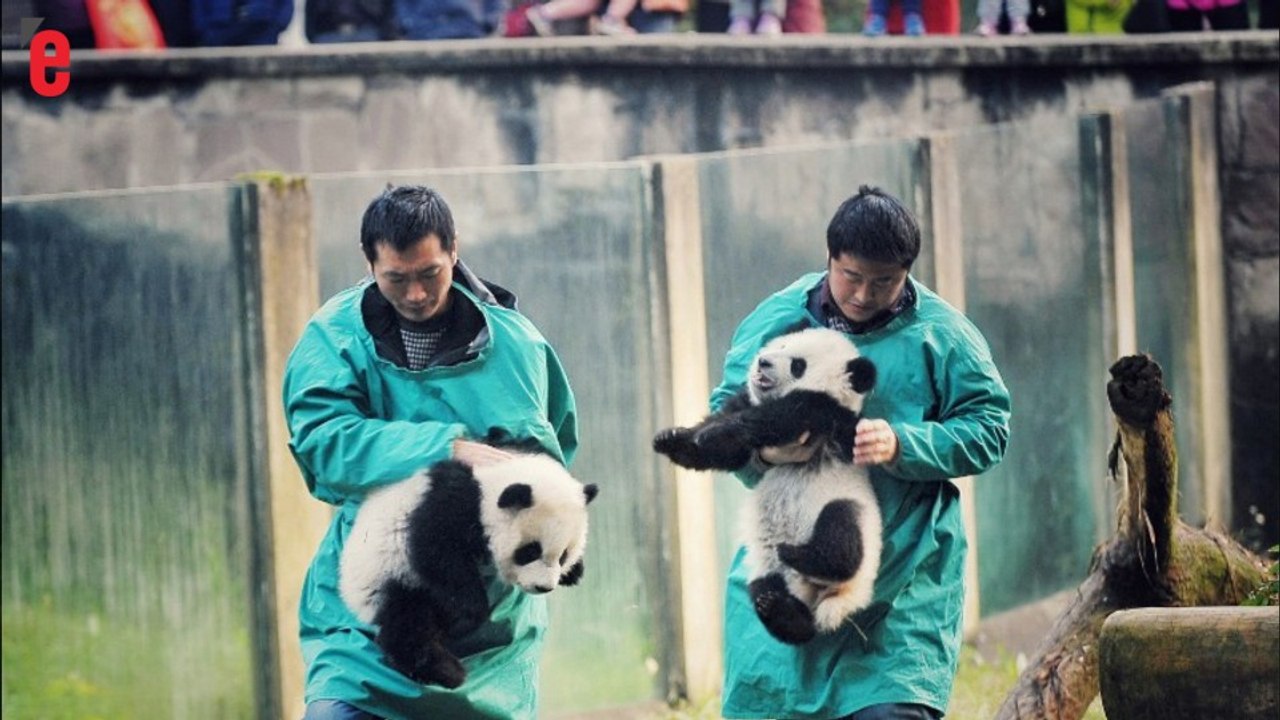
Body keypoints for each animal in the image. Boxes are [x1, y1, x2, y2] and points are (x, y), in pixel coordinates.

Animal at [339, 452, 598, 689]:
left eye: (563, 555)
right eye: (530, 551)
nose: (543, 587)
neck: (487, 487)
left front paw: (575, 572)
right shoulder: (449, 508)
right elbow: (437, 553)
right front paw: (465, 616)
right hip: (389, 575)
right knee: (408, 623)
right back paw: (444, 669)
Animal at [653, 326, 881, 645]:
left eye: (798, 365)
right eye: (782, 345)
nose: (763, 362)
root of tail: (830, 598)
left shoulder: (823, 411)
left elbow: (773, 421)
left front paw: (714, 433)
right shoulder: (749, 399)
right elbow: (728, 451)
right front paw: (673, 439)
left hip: (850, 512)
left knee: (842, 537)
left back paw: (800, 555)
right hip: (769, 574)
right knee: (780, 606)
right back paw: (781, 610)